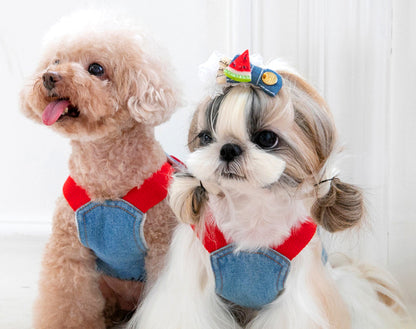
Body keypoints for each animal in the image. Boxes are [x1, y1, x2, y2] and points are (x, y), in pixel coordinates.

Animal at [19, 10, 179, 328]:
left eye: (96, 68)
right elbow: (68, 303)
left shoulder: (161, 245)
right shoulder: (69, 250)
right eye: (56, 61)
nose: (49, 77)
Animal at [129, 50, 412, 326]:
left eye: (266, 138)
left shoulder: (299, 294)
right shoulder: (191, 283)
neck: (252, 208)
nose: (228, 148)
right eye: (206, 137)